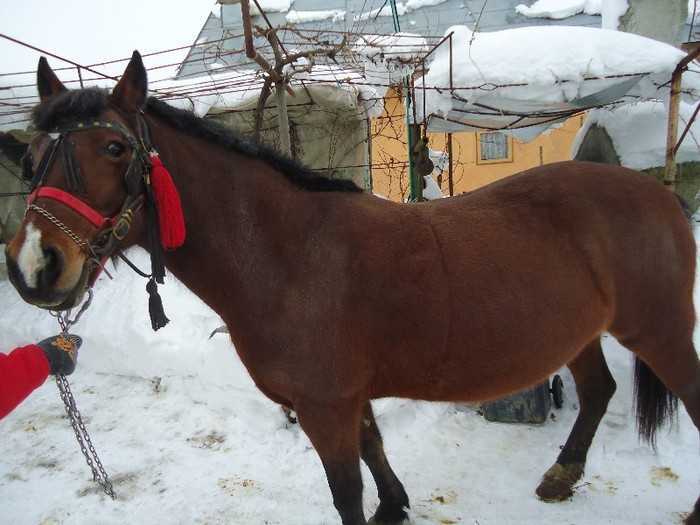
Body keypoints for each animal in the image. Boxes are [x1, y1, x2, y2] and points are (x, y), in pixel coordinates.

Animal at [5, 50, 700, 524]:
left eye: (116, 148)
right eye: (31, 156)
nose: (35, 266)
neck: (290, 258)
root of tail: (658, 195)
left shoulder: (324, 406)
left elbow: (347, 489)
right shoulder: (348, 399)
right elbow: (375, 451)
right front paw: (395, 508)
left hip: (659, 332)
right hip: (581, 333)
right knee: (598, 390)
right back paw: (561, 476)